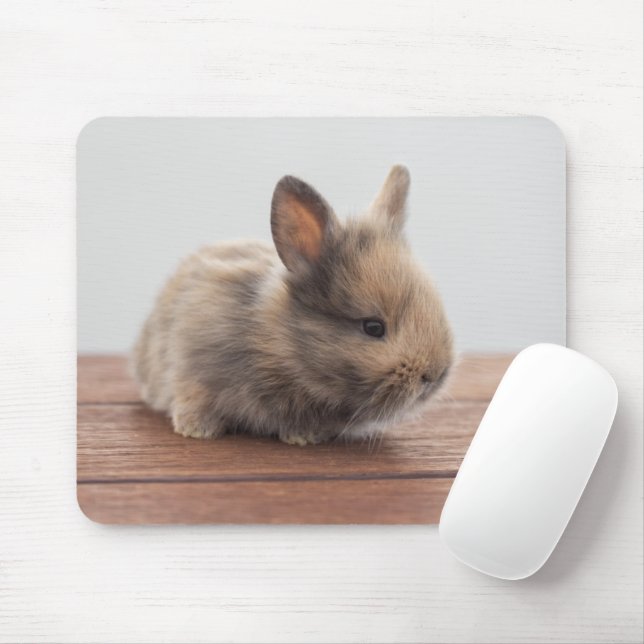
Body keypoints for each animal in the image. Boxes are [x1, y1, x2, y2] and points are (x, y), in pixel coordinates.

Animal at [131, 165, 454, 445]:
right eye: (373, 327)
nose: (434, 375)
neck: (277, 346)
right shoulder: (193, 364)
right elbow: (193, 397)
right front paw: (197, 430)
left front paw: (304, 437)